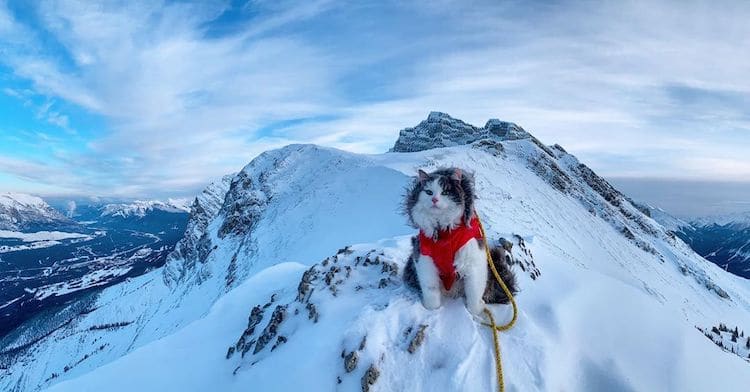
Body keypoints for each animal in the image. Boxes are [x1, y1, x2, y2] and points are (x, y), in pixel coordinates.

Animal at [402, 168, 520, 316]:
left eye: (445, 192)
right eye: (428, 192)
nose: (434, 199)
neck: (443, 234)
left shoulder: (474, 260)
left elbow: (474, 291)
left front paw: (476, 310)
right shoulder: (424, 260)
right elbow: (431, 290)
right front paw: (432, 309)